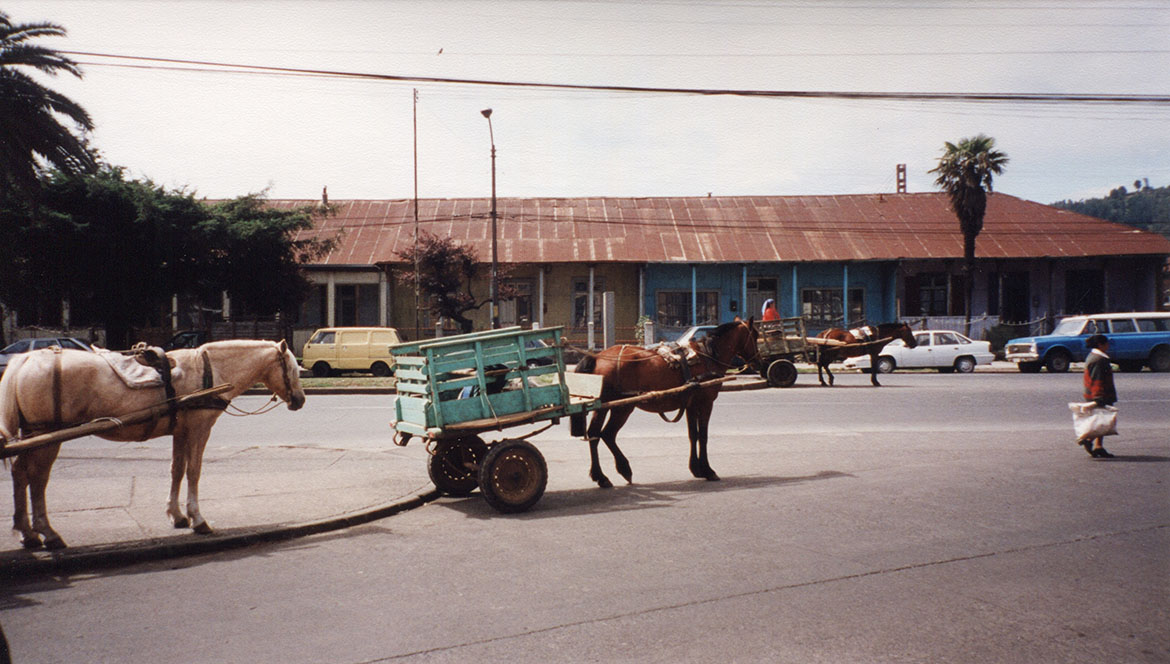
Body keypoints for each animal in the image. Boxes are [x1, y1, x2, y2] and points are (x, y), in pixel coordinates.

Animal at [0, 339, 306, 547]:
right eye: (291, 368)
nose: (300, 400)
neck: (209, 371)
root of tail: (24, 360)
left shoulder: (181, 431)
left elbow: (177, 470)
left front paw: (176, 515)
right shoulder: (199, 429)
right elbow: (193, 471)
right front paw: (197, 518)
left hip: (32, 435)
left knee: (20, 474)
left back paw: (27, 532)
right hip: (47, 437)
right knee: (37, 479)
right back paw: (47, 532)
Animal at [570, 317, 762, 483]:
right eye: (755, 336)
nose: (760, 362)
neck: (708, 356)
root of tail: (598, 357)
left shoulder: (691, 405)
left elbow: (693, 435)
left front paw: (696, 468)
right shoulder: (706, 403)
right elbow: (703, 435)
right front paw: (708, 470)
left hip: (607, 407)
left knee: (596, 434)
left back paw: (603, 475)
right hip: (622, 408)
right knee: (606, 434)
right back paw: (614, 472)